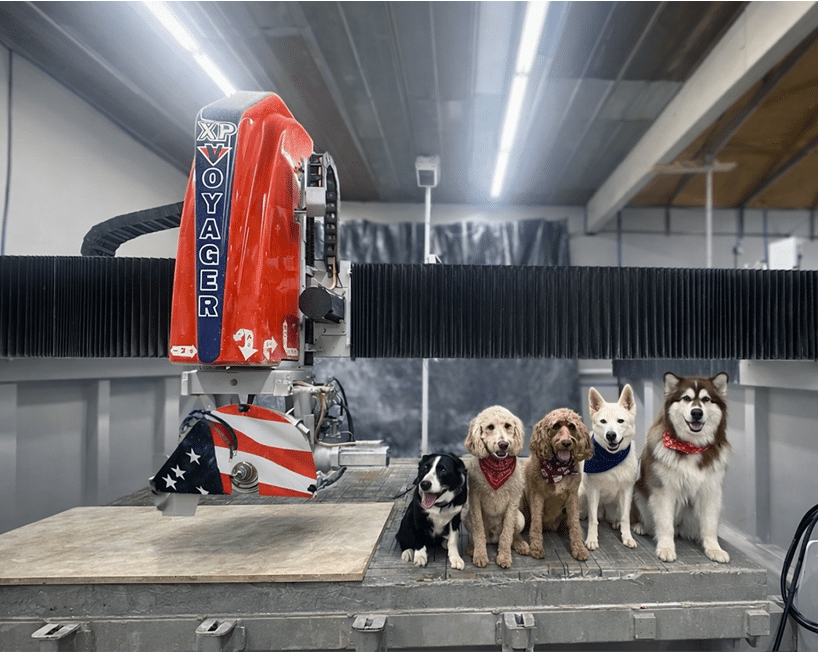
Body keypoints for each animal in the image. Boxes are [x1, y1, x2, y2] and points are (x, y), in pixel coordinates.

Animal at [462, 406, 529, 568]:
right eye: (490, 427)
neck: (497, 467)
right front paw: (480, 554)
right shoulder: (475, 499)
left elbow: (507, 533)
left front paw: (504, 557)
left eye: (508, 425)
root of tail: (493, 538)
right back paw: (472, 547)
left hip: (520, 519)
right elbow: (478, 531)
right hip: (467, 519)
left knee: (513, 534)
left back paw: (519, 544)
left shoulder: (513, 501)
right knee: (480, 536)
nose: (503, 444)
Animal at [523, 408, 594, 561]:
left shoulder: (572, 496)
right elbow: (536, 523)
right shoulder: (537, 495)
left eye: (572, 427)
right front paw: (536, 547)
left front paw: (579, 548)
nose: (566, 443)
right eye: (555, 426)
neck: (558, 470)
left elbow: (575, 525)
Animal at [579, 384, 639, 550]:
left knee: (616, 516)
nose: (610, 435)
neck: (611, 459)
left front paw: (627, 537)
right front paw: (592, 539)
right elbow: (593, 520)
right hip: (581, 494)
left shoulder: (626, 491)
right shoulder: (593, 491)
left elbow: (625, 518)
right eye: (603, 421)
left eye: (620, 421)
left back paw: (615, 522)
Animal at [632, 372, 731, 563]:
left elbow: (709, 525)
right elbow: (665, 524)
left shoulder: (711, 491)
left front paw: (714, 549)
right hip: (638, 494)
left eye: (706, 399)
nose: (697, 412)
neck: (691, 446)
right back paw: (641, 527)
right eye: (686, 398)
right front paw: (666, 548)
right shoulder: (664, 491)